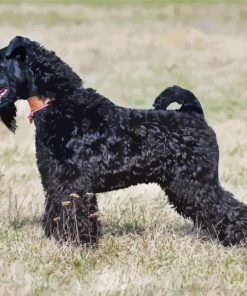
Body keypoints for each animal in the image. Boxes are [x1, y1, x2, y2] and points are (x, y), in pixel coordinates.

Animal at [0, 35, 247, 246]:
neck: (58, 103)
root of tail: (194, 114)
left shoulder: (73, 182)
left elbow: (75, 213)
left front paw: (77, 243)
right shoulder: (54, 180)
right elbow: (57, 211)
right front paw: (59, 240)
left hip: (196, 182)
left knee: (227, 208)